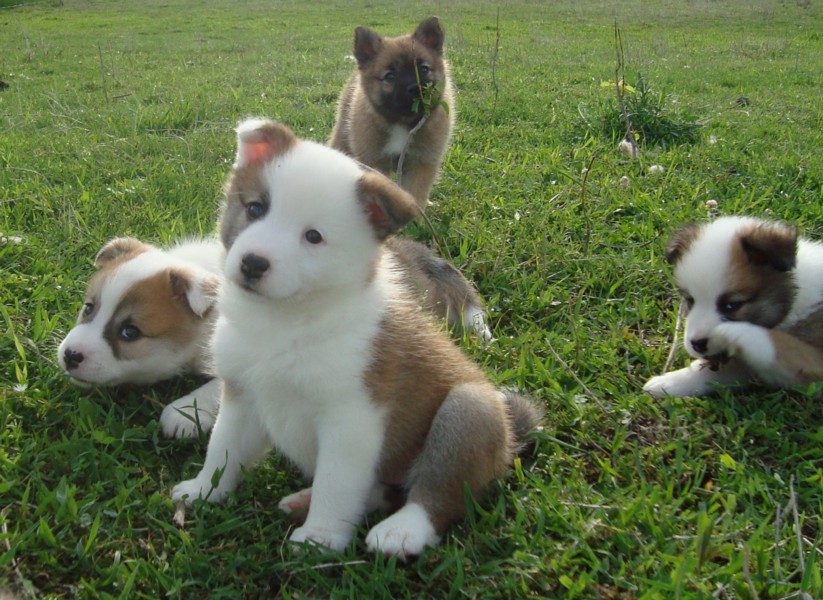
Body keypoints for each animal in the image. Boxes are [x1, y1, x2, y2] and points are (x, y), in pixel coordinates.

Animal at [171, 119, 540, 560]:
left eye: (313, 237)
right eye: (256, 208)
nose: (253, 264)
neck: (286, 320)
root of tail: (511, 438)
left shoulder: (350, 420)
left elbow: (337, 485)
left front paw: (320, 537)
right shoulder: (242, 395)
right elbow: (223, 450)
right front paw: (203, 491)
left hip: (471, 409)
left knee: (440, 495)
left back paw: (400, 531)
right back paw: (303, 501)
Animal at [648, 216, 823, 398]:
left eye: (731, 305)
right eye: (690, 301)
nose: (696, 344)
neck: (796, 302)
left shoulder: (814, 363)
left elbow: (779, 343)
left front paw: (730, 331)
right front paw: (668, 383)